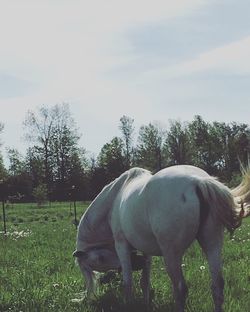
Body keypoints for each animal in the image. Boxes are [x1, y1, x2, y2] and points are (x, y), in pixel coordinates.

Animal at [73, 165, 244, 310]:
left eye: (100, 259)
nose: (137, 262)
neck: (114, 198)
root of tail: (198, 181)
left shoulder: (121, 245)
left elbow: (127, 283)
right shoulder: (145, 250)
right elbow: (144, 282)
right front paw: (145, 304)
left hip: (171, 255)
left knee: (180, 289)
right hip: (212, 245)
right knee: (217, 286)